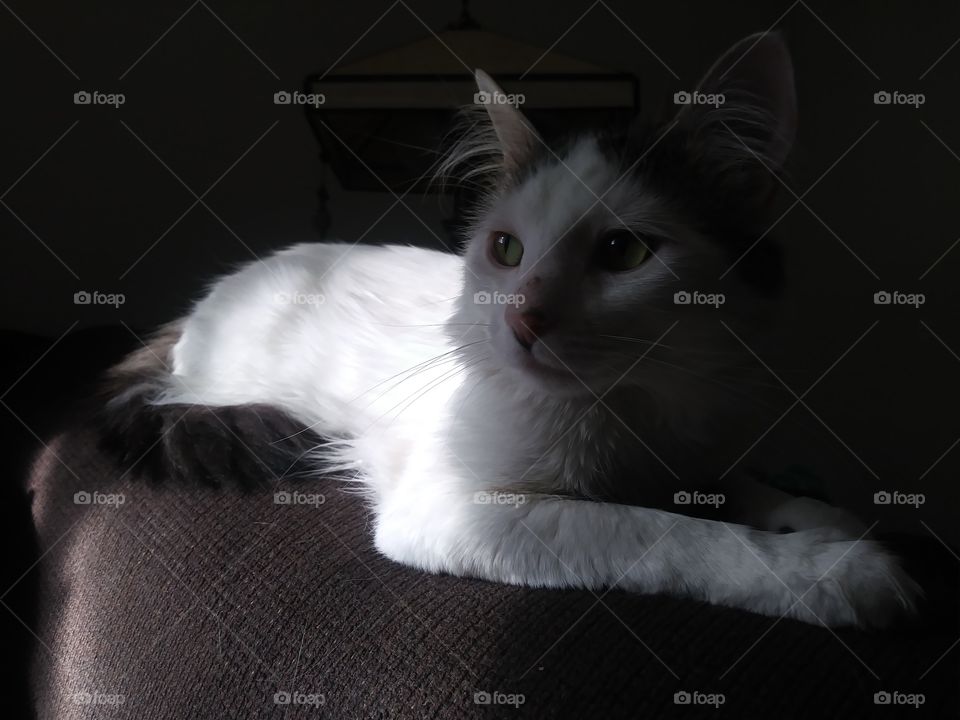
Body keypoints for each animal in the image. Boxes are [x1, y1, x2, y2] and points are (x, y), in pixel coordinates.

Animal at [101, 33, 920, 628]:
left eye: (624, 252)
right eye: (506, 250)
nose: (522, 316)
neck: (631, 406)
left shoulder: (690, 445)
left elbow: (745, 486)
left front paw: (826, 519)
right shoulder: (461, 509)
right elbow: (668, 533)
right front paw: (833, 571)